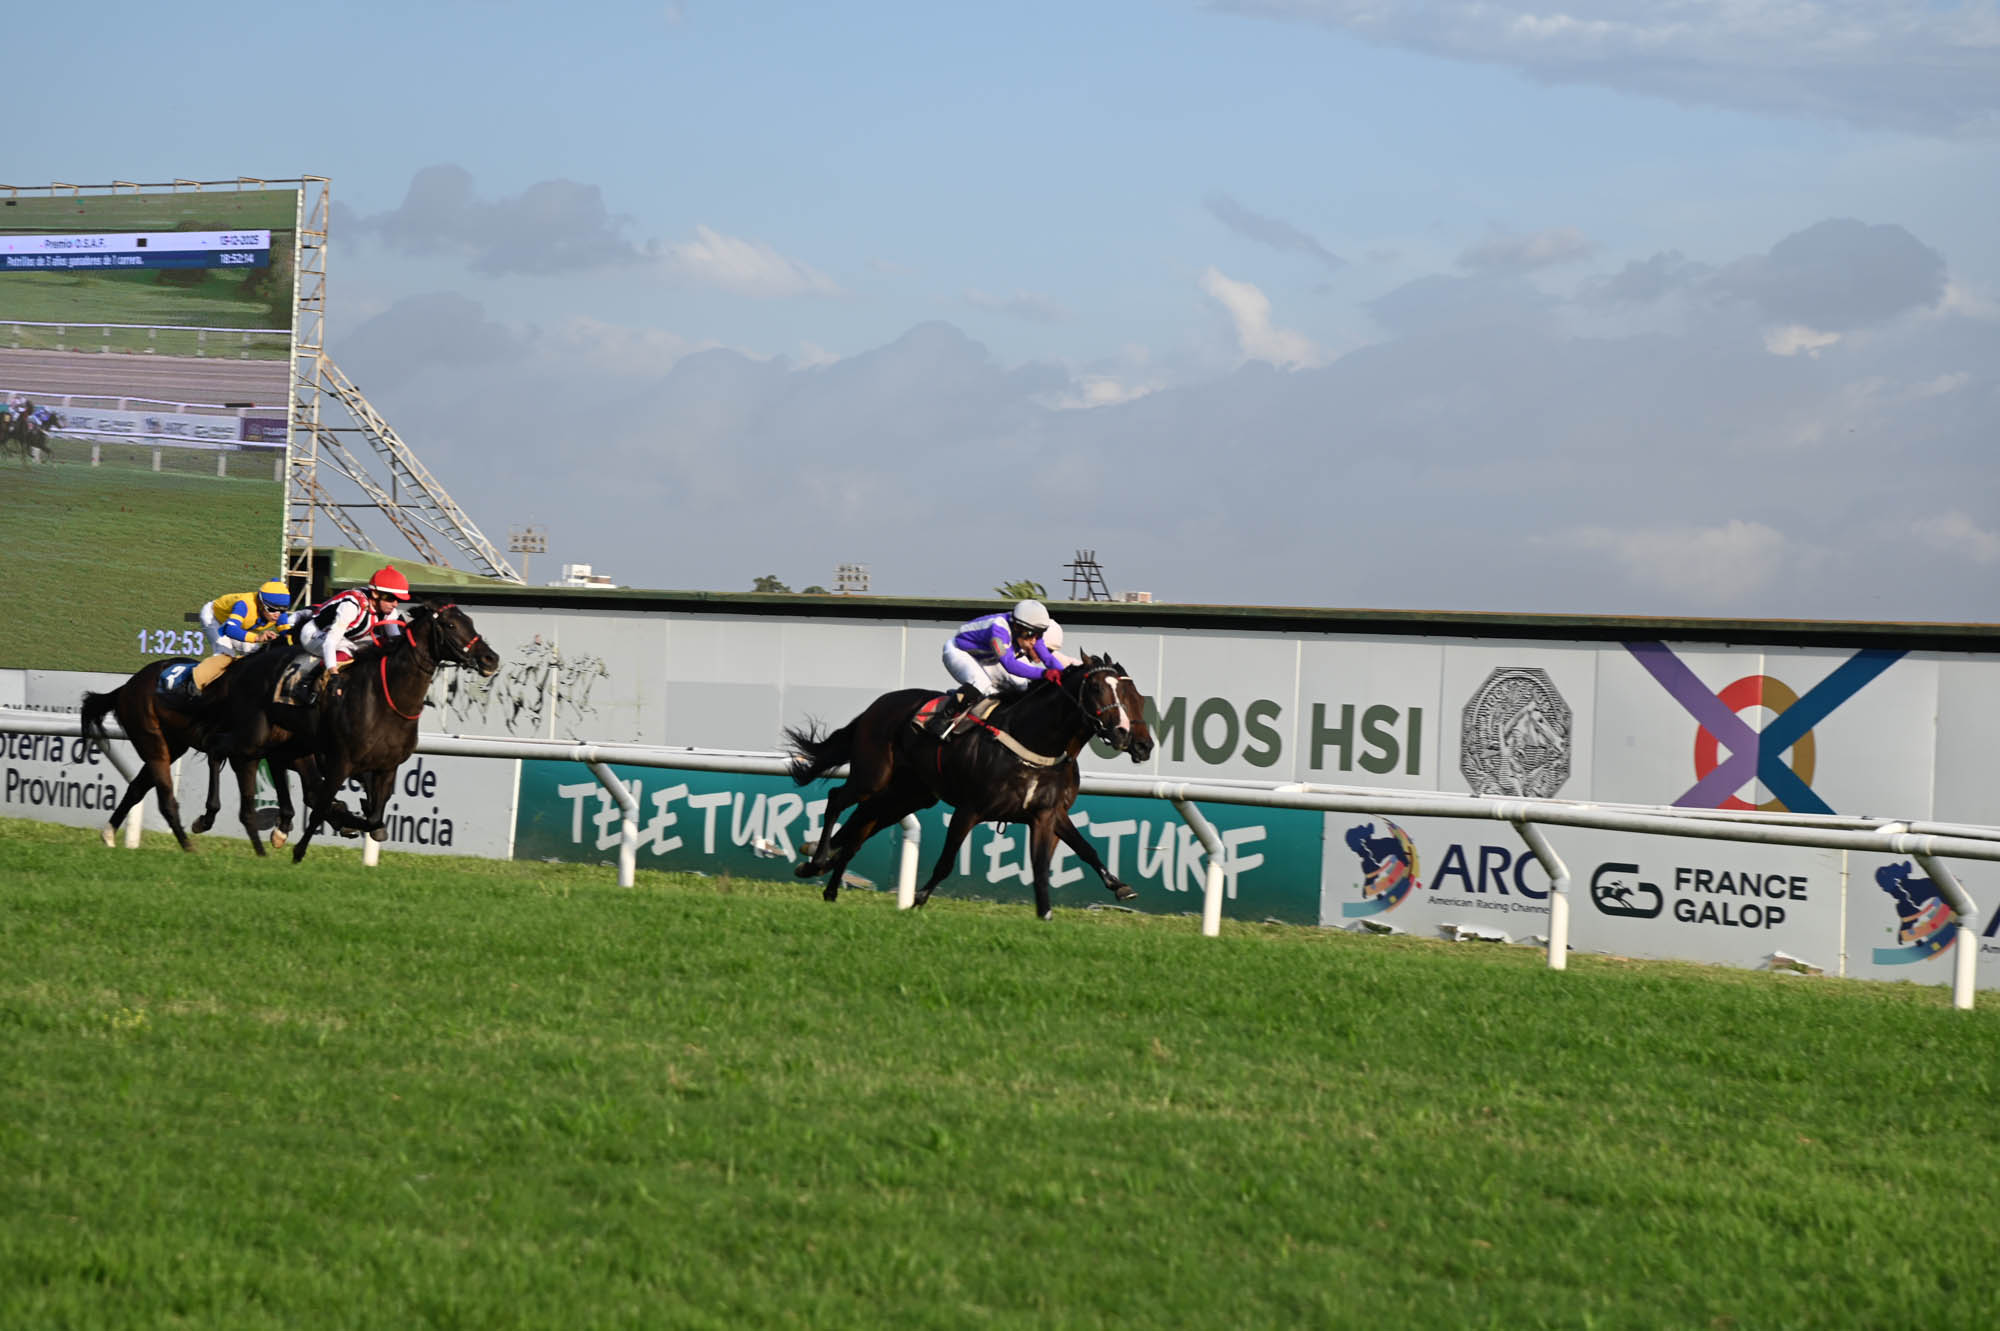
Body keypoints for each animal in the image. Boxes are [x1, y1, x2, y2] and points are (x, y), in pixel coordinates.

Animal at [79, 652, 301, 852]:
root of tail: (127, 686)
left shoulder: (277, 752)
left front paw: (282, 830)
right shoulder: (237, 750)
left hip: (172, 746)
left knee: (136, 788)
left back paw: (109, 834)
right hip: (152, 742)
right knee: (165, 800)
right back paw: (188, 847)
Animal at [216, 601, 500, 862]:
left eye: (470, 622)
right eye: (451, 625)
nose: (491, 658)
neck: (386, 698)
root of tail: (245, 664)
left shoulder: (387, 766)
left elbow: (374, 819)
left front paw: (357, 818)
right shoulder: (340, 761)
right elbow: (323, 806)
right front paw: (300, 850)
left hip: (289, 740)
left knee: (270, 763)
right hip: (256, 734)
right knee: (227, 751)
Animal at [782, 653, 1155, 920]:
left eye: (1136, 696)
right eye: (1097, 690)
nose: (1139, 743)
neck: (1034, 743)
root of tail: (877, 705)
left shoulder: (1047, 813)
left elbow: (1075, 853)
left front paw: (1112, 889)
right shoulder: (970, 808)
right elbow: (946, 862)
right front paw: (918, 900)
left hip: (908, 795)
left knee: (859, 829)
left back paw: (826, 882)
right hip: (873, 776)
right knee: (836, 800)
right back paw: (816, 859)